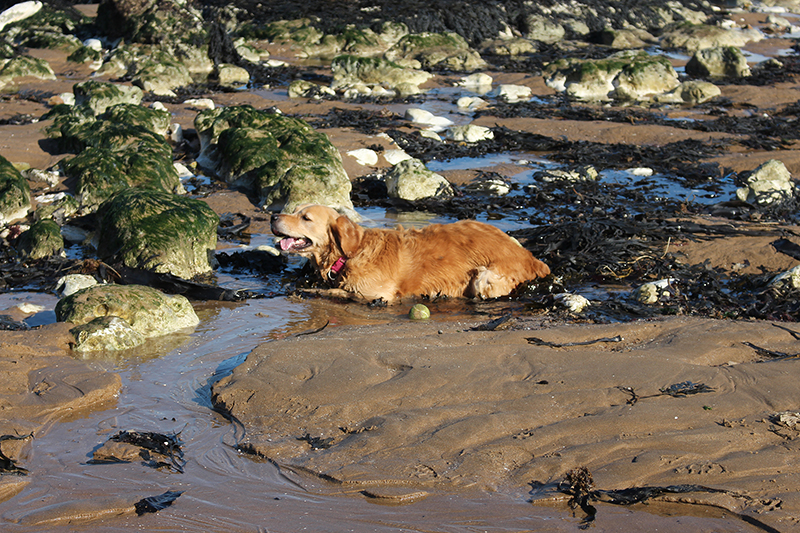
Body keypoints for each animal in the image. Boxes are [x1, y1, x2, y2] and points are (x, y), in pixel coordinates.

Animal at [270, 205, 552, 304]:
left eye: (305, 217)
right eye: (294, 210)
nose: (272, 216)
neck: (350, 253)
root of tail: (532, 258)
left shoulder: (378, 293)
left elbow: (341, 292)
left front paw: (305, 290)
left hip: (484, 278)